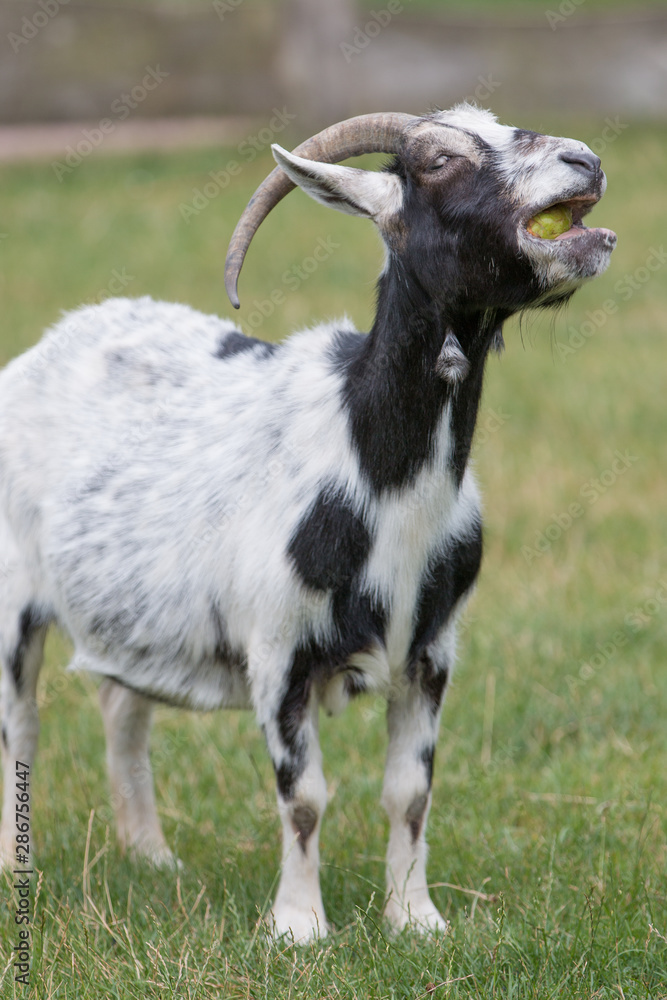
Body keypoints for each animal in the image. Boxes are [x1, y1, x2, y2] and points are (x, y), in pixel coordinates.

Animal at [0, 105, 616, 941]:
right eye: (438, 160)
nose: (583, 160)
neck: (379, 479)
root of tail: (46, 347)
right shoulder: (277, 649)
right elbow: (304, 797)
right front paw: (298, 927)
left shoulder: (431, 650)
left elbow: (409, 792)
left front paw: (413, 919)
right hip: (11, 600)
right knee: (21, 728)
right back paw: (17, 871)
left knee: (123, 709)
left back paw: (151, 858)